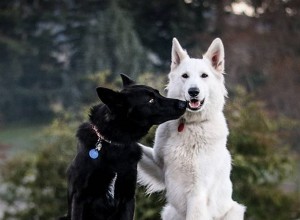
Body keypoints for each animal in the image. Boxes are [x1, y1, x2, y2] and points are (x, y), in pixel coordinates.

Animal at [60, 74, 186, 220]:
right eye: (150, 100)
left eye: (158, 93)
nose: (184, 103)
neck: (114, 143)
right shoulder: (80, 197)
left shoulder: (127, 197)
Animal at [138, 38, 246, 220]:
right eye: (185, 76)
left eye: (204, 76)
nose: (193, 91)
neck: (190, 125)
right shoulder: (159, 167)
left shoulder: (197, 193)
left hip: (234, 210)